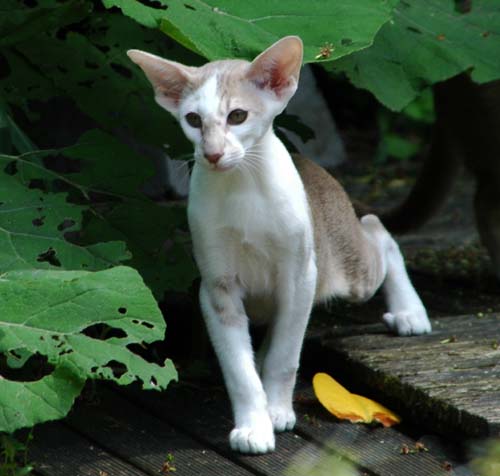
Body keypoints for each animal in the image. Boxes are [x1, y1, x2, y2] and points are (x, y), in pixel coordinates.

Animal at [127, 36, 431, 454]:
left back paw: (409, 312)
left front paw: (277, 411)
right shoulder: (217, 288)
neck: (242, 188)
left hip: (351, 273)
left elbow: (285, 357)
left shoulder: (300, 278)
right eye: (193, 120)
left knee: (378, 231)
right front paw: (254, 424)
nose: (213, 154)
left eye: (237, 116)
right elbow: (240, 370)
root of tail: (311, 164)